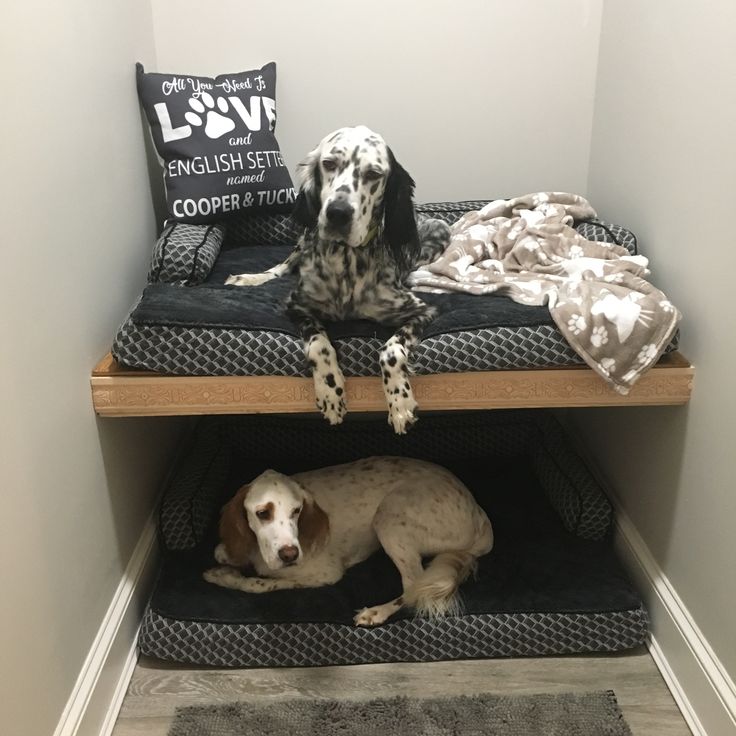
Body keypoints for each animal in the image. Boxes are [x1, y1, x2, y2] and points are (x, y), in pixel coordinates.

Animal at [203, 458, 494, 624]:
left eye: (297, 511)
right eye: (262, 513)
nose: (290, 554)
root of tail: (480, 515)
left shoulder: (326, 573)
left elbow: (260, 584)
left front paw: (224, 576)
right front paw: (226, 553)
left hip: (389, 516)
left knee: (413, 585)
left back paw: (376, 612)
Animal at [227, 126, 452, 434]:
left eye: (373, 174)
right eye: (329, 164)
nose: (338, 213)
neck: (347, 262)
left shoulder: (422, 311)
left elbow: (390, 351)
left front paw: (399, 401)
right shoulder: (296, 305)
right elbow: (319, 344)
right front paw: (330, 391)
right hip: (303, 240)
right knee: (282, 267)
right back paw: (249, 278)